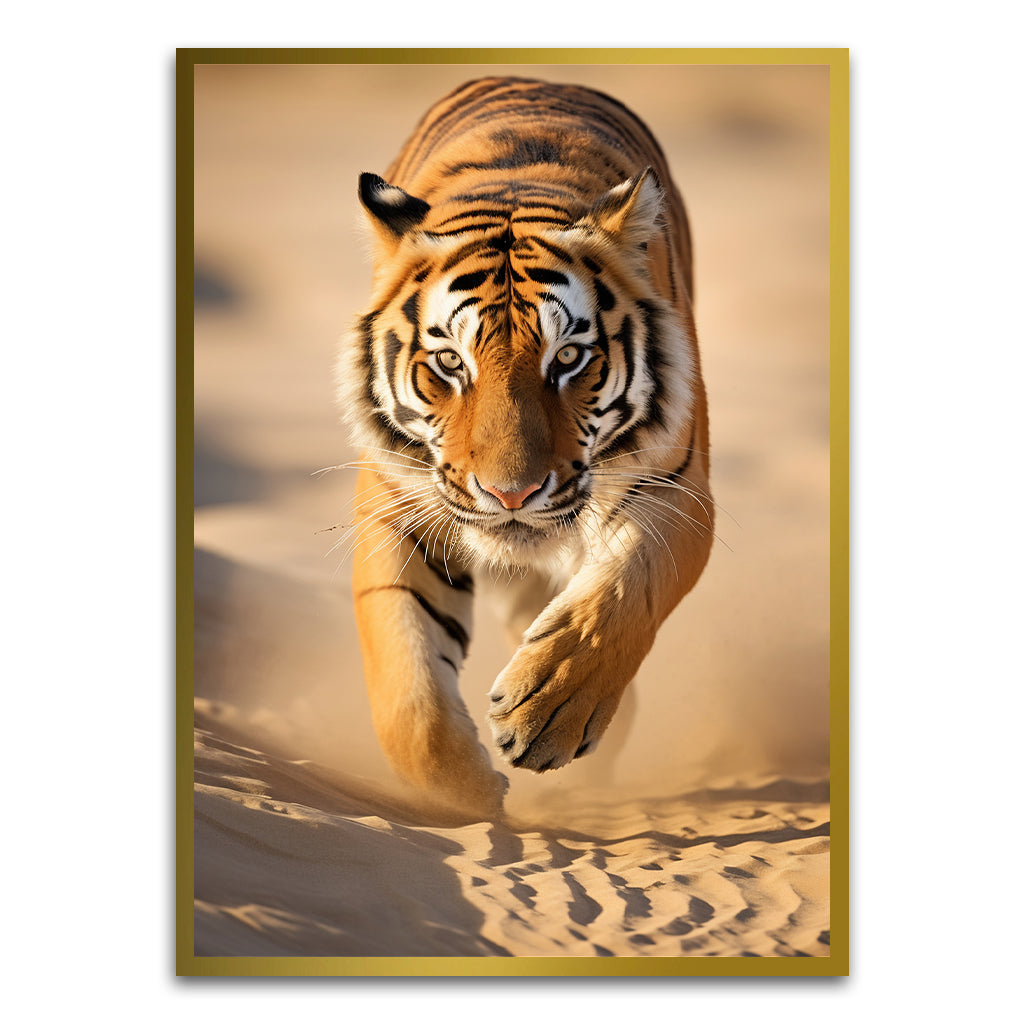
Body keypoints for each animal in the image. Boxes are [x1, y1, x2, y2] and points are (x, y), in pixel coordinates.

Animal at [337, 77, 713, 820]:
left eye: (567, 358)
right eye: (450, 362)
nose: (510, 494)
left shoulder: (679, 488)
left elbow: (621, 595)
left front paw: (549, 712)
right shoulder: (397, 507)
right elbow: (407, 689)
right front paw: (471, 791)